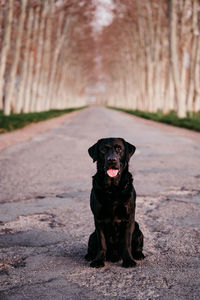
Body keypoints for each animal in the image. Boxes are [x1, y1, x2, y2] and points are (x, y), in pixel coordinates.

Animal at [85, 138, 145, 268]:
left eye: (119, 149)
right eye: (103, 149)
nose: (111, 159)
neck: (112, 189)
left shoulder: (128, 218)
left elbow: (126, 243)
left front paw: (128, 260)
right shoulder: (98, 219)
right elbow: (102, 243)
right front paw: (98, 261)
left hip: (137, 229)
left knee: (137, 247)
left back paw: (138, 255)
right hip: (92, 236)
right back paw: (89, 256)